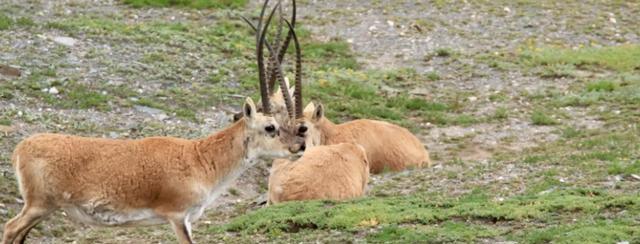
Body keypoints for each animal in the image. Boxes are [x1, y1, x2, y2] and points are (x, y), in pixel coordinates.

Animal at [1, 0, 302, 243]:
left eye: (288, 123)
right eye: (270, 127)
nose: (298, 146)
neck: (200, 158)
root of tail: (22, 148)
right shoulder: (178, 217)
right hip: (39, 206)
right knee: (9, 228)